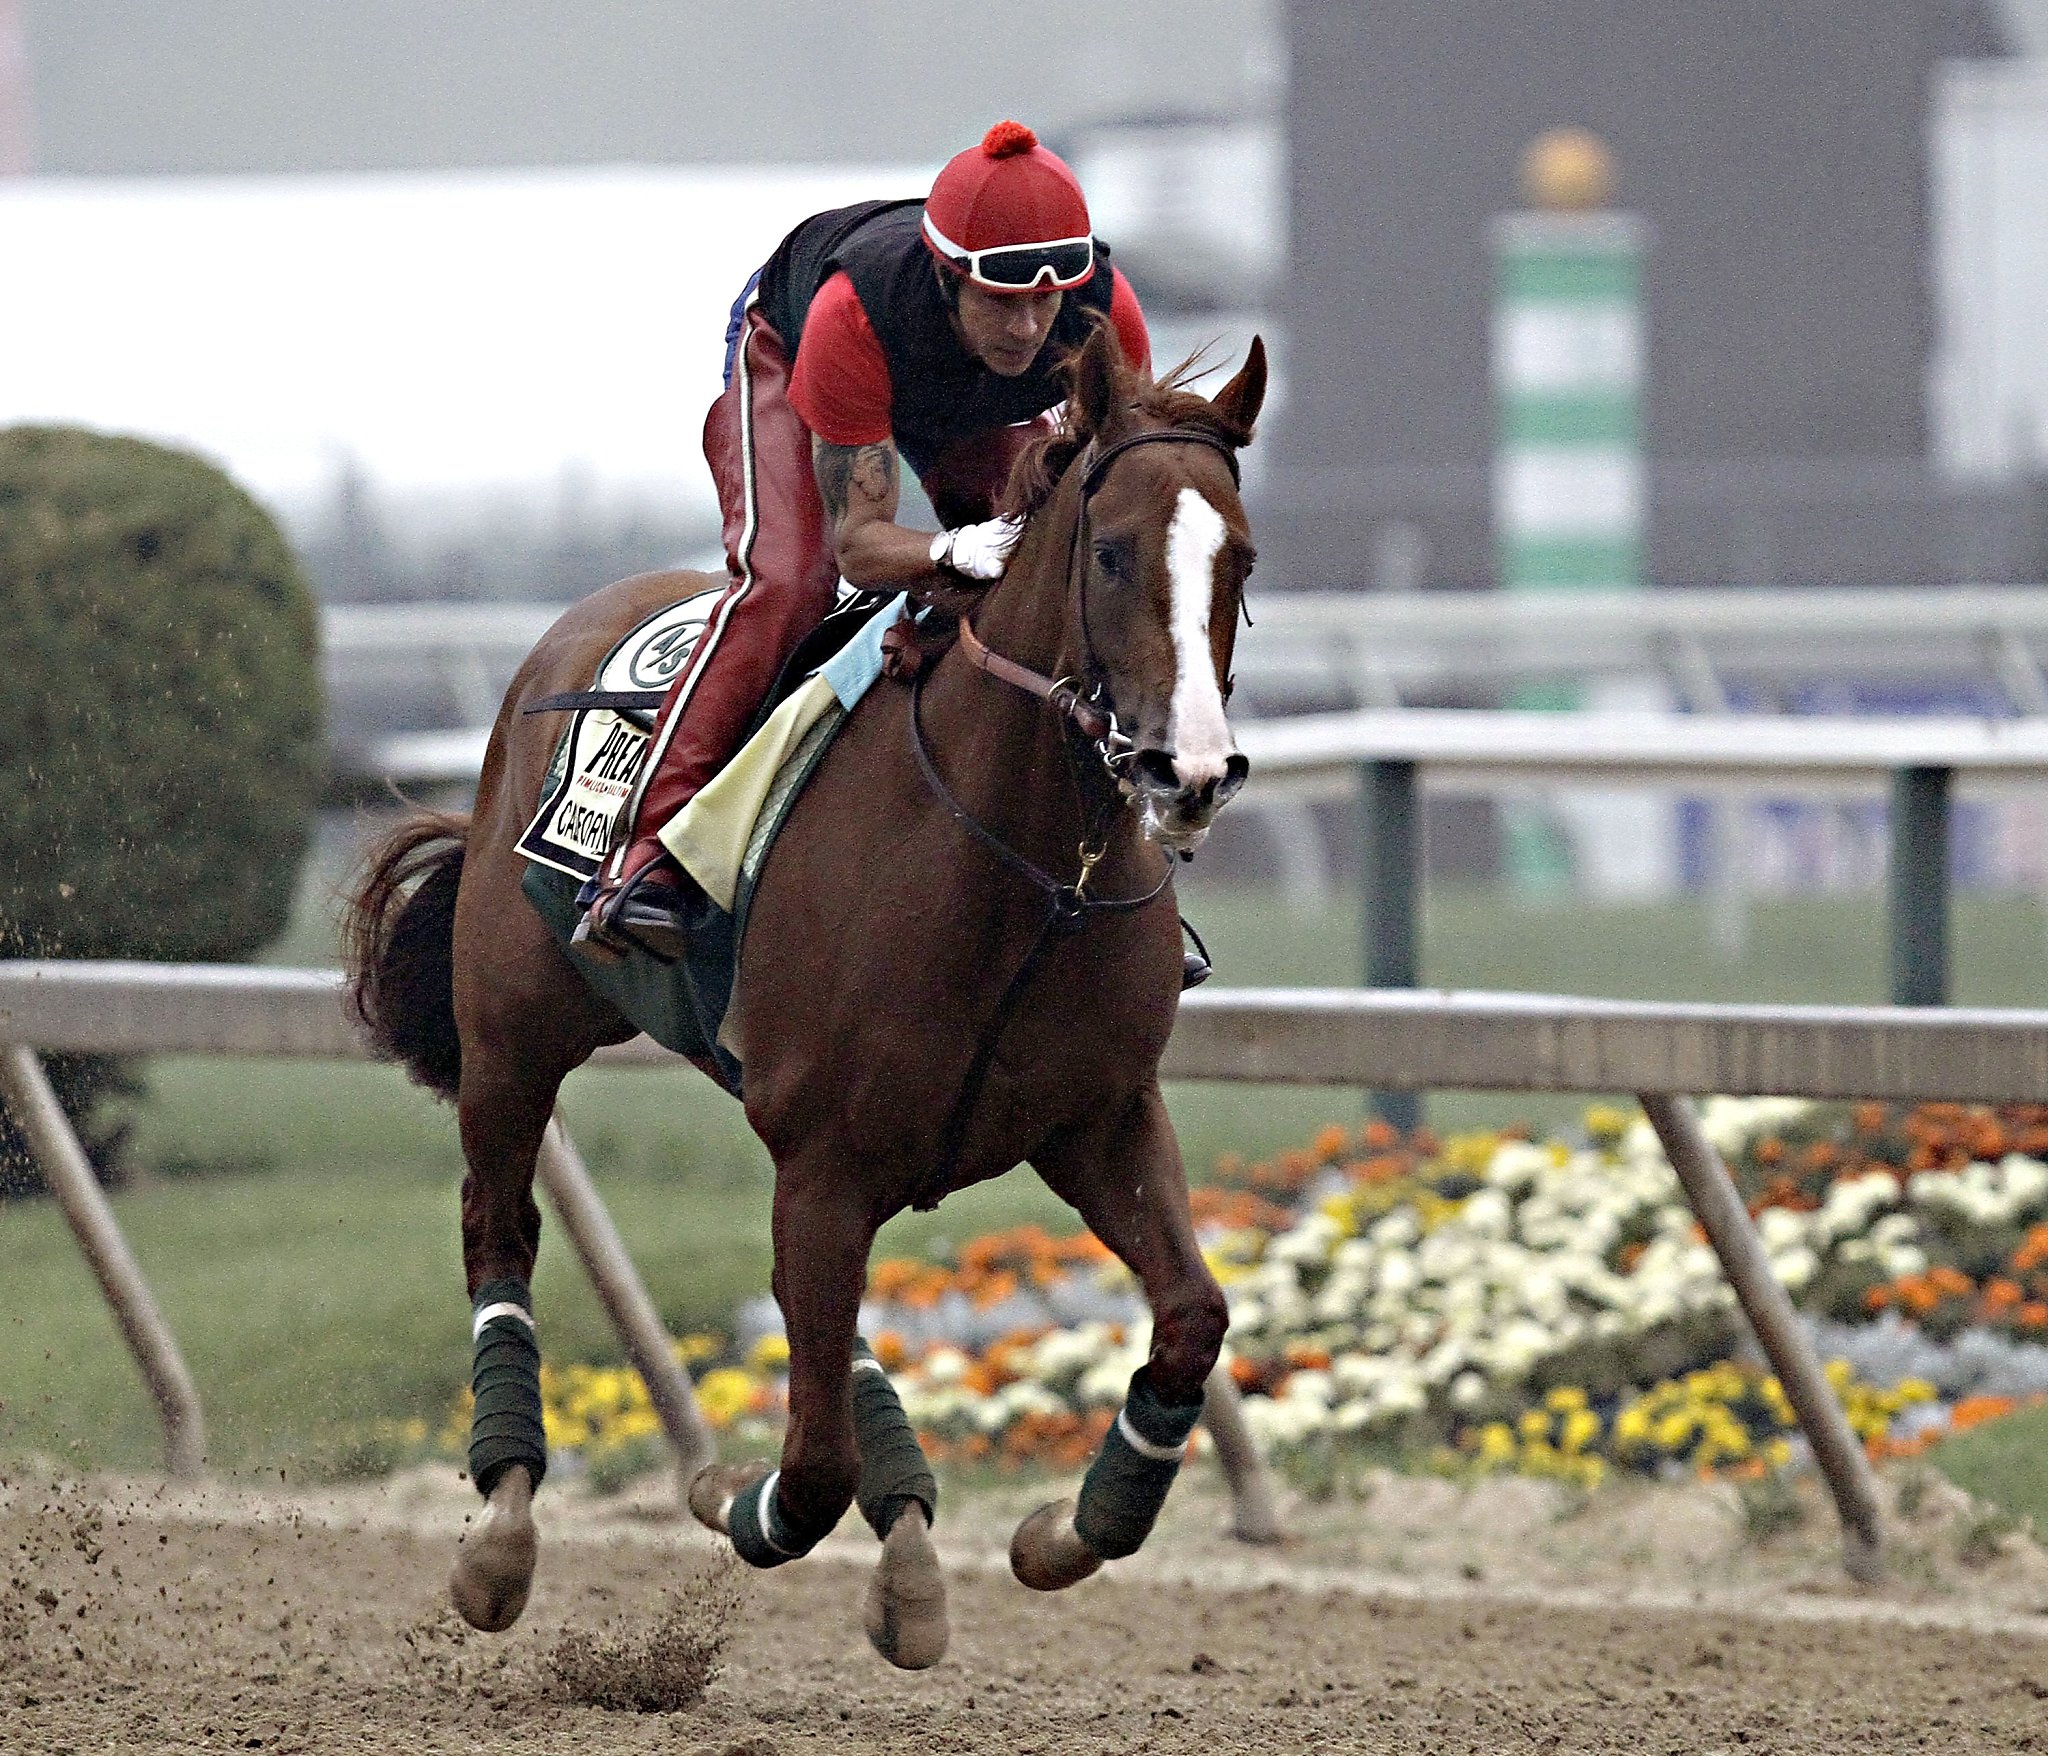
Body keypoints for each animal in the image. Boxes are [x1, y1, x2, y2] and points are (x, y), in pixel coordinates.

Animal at [339, 321, 1261, 1663]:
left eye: (1239, 558)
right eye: (1109, 549)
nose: (1184, 771)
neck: (1027, 866)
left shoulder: (1093, 1119)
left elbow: (1189, 1318)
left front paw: (1061, 1529)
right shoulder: (824, 1155)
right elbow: (812, 1464)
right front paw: (730, 1492)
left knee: (826, 1324)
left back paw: (913, 1554)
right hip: (512, 1042)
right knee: (496, 1229)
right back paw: (501, 1531)